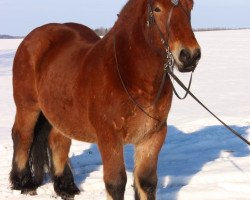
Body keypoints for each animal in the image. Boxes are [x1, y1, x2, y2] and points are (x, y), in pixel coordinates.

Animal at [10, 0, 201, 199]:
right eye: (157, 9)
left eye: (190, 6)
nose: (190, 55)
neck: (128, 74)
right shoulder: (109, 138)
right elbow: (116, 183)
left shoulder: (152, 136)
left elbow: (147, 182)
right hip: (28, 107)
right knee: (23, 136)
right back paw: (23, 182)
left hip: (61, 113)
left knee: (58, 141)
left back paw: (65, 187)